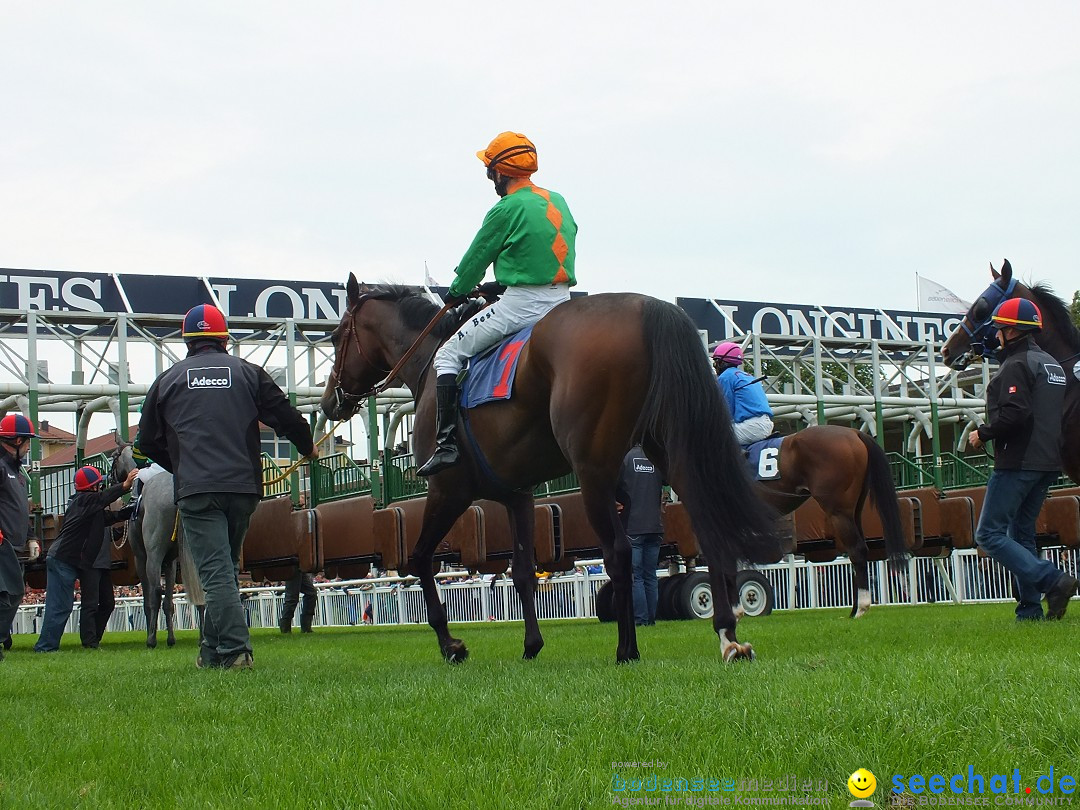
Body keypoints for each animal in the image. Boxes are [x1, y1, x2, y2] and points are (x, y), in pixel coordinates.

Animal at [315, 278, 781, 665]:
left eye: (336, 337)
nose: (328, 403)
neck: (432, 367)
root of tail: (649, 307)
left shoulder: (448, 490)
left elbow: (419, 558)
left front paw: (451, 645)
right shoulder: (518, 495)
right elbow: (522, 571)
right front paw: (531, 645)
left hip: (593, 470)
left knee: (619, 551)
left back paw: (627, 650)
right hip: (673, 453)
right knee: (707, 527)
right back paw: (728, 635)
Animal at [756, 427, 907, 617]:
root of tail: (854, 432)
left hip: (838, 511)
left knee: (856, 550)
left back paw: (861, 608)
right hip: (855, 509)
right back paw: (855, 608)